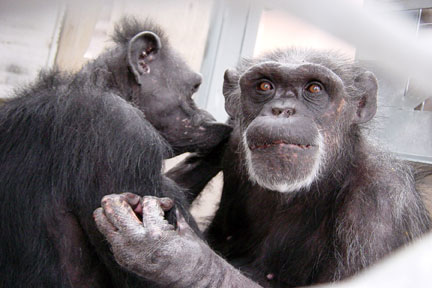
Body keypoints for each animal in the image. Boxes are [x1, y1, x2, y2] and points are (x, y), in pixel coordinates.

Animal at [95, 48, 432, 286]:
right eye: (265, 85)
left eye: (314, 89)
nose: (282, 110)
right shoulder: (233, 140)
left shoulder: (382, 207)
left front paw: (175, 257)